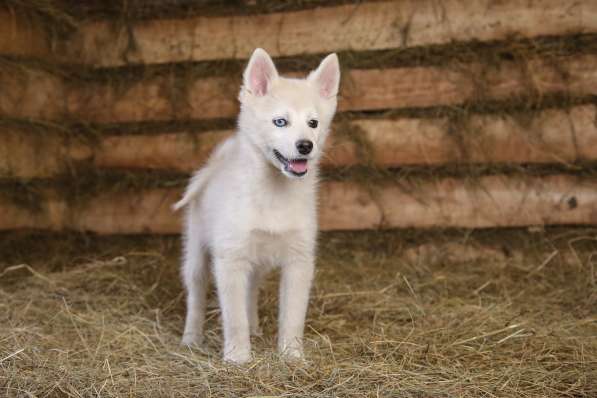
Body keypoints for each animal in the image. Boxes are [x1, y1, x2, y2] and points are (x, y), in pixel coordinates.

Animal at [172, 48, 340, 366]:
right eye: (280, 122)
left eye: (313, 123)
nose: (305, 146)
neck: (274, 192)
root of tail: (214, 165)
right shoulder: (230, 259)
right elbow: (233, 317)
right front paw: (238, 358)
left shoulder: (299, 261)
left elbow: (292, 317)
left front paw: (292, 356)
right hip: (197, 252)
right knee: (196, 294)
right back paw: (191, 338)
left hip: (257, 262)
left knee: (250, 291)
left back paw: (255, 328)